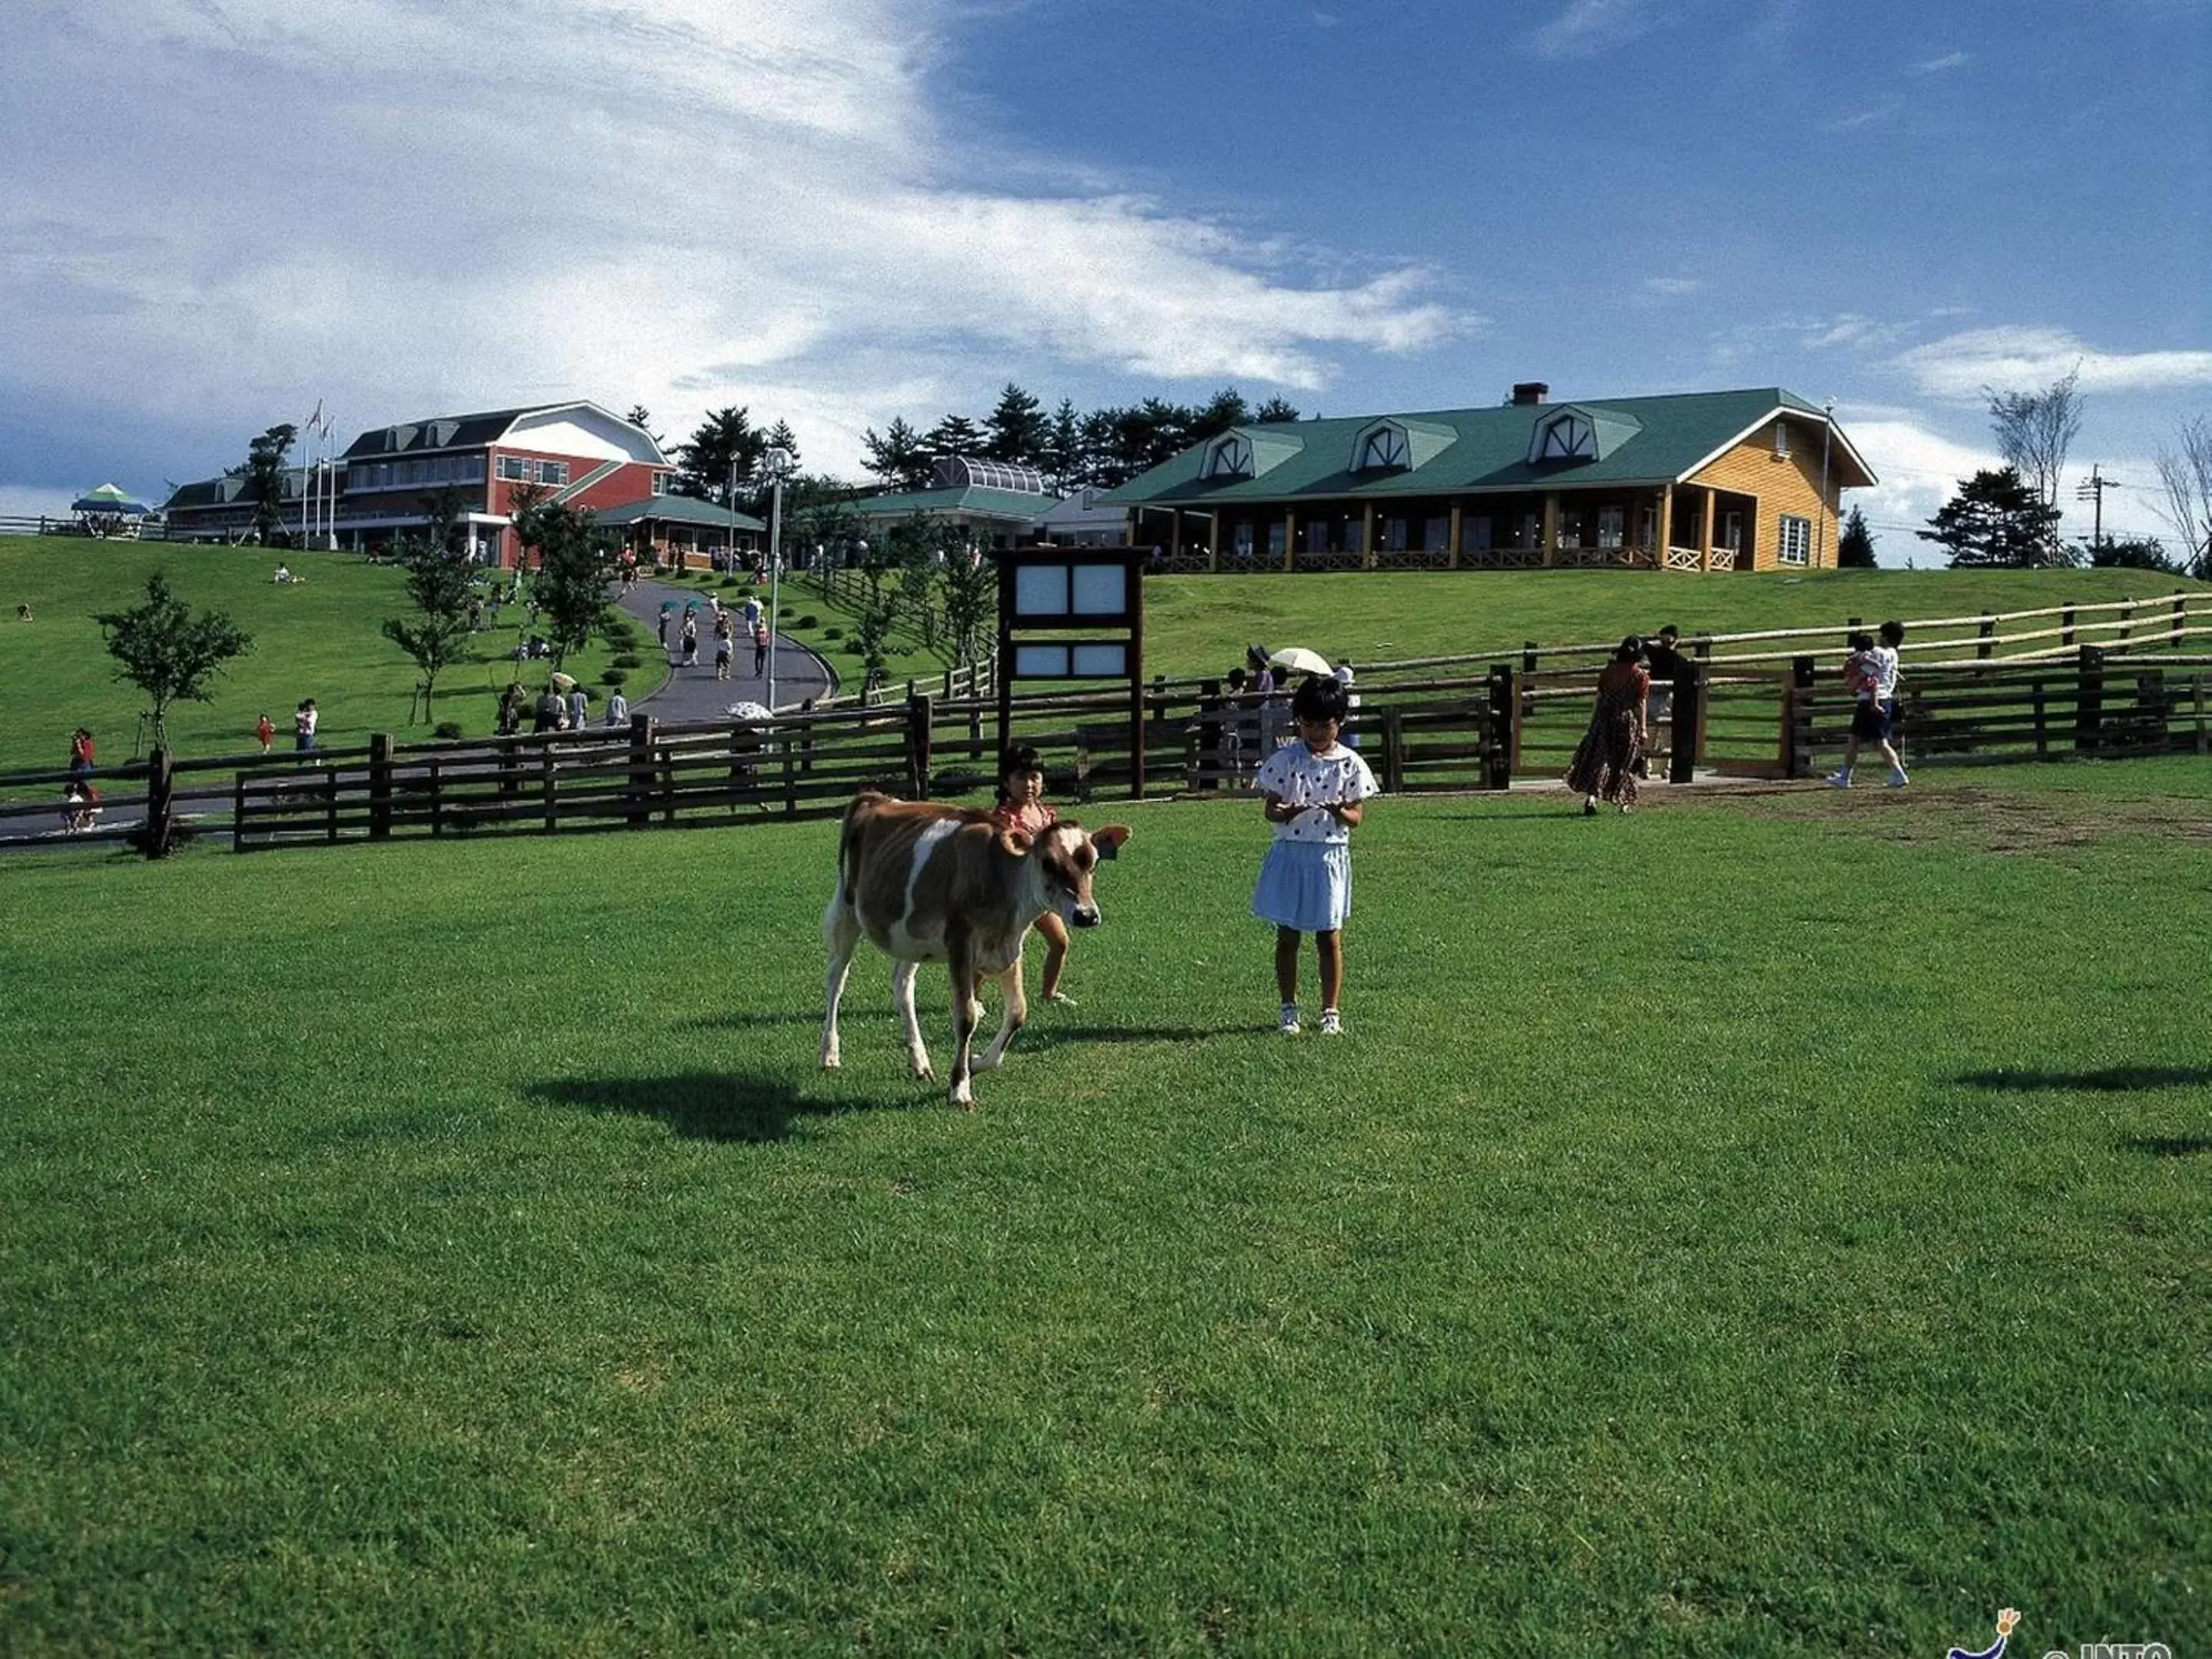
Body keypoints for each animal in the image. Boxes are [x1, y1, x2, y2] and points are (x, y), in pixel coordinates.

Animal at [823, 787, 1132, 1106]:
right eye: (1048, 862)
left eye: (1093, 862)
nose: (1086, 915)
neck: (999, 879)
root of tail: (876, 797)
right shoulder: (960, 945)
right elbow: (966, 1017)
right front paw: (960, 1088)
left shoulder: (1009, 946)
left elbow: (1018, 1012)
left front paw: (976, 1063)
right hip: (846, 909)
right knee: (836, 980)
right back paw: (830, 1054)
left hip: (909, 936)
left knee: (902, 985)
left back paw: (920, 1063)